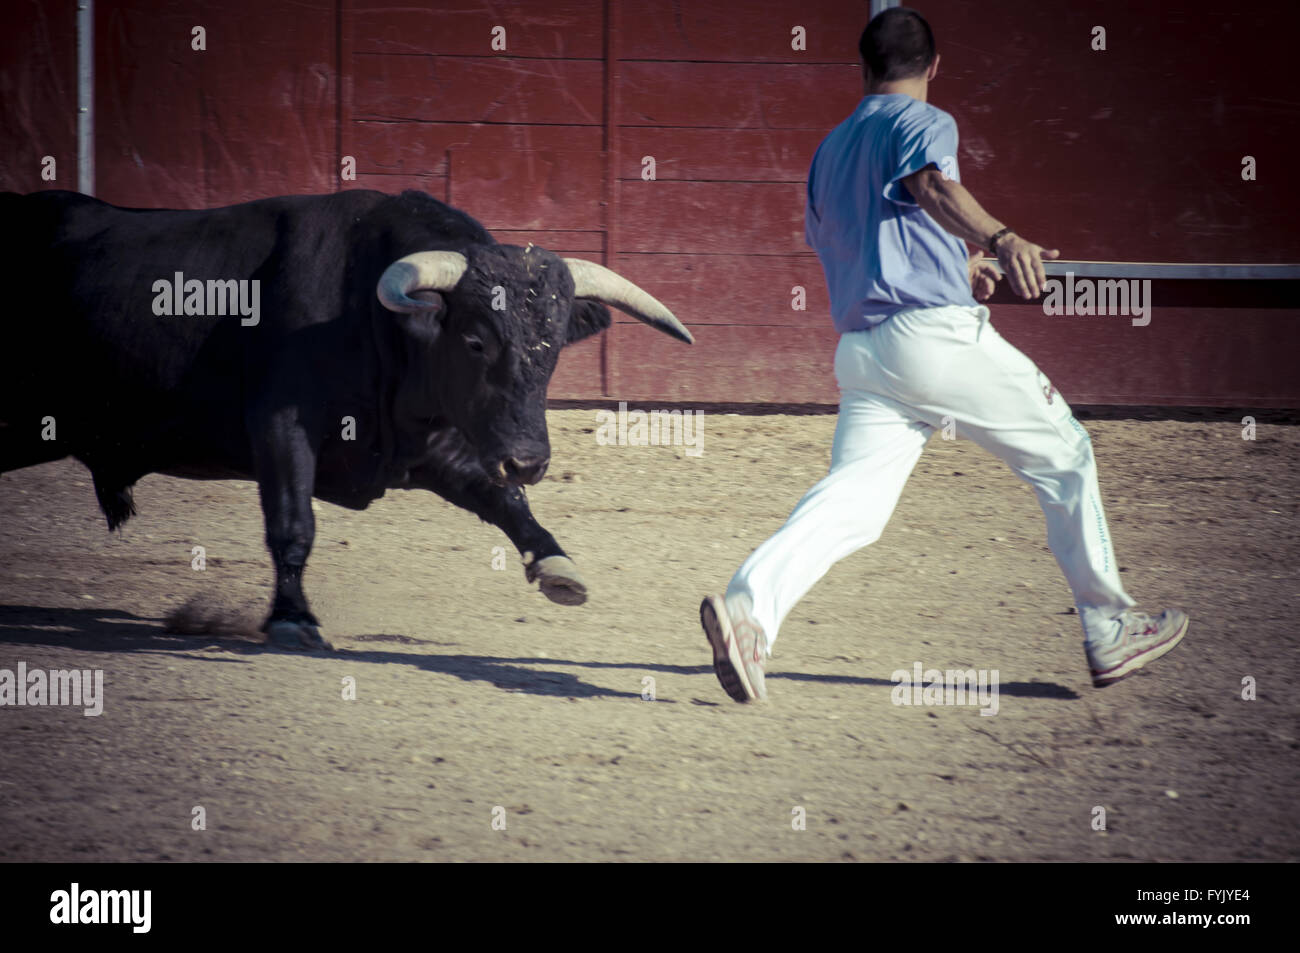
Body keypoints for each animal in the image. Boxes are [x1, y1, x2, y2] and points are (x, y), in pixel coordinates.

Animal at [0, 187, 696, 647]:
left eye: (550, 348)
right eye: (475, 341)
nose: (528, 460)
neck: (367, 316)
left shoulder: (429, 449)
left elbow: (504, 502)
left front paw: (555, 564)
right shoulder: (282, 427)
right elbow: (291, 523)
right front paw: (292, 618)